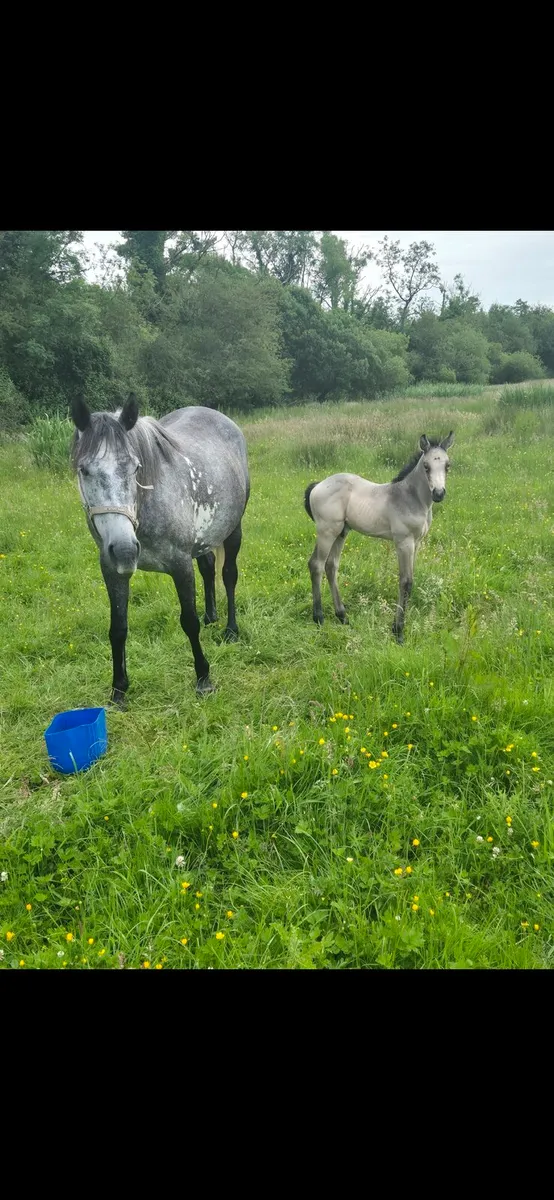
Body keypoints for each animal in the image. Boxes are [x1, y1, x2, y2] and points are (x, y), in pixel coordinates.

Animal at [70, 394, 250, 703]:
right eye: (84, 469)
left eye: (135, 467)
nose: (125, 550)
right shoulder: (111, 569)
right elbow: (118, 628)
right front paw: (119, 690)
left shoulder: (180, 565)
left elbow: (189, 621)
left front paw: (204, 679)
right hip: (203, 538)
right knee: (208, 568)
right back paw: (211, 617)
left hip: (232, 530)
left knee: (228, 575)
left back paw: (230, 630)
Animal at [304, 431, 454, 642]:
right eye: (426, 466)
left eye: (447, 465)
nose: (439, 494)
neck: (410, 498)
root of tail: (318, 485)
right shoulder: (404, 542)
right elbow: (406, 582)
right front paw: (398, 631)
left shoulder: (416, 543)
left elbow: (410, 580)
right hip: (327, 531)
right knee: (316, 565)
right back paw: (319, 618)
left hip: (341, 532)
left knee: (331, 566)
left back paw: (343, 616)